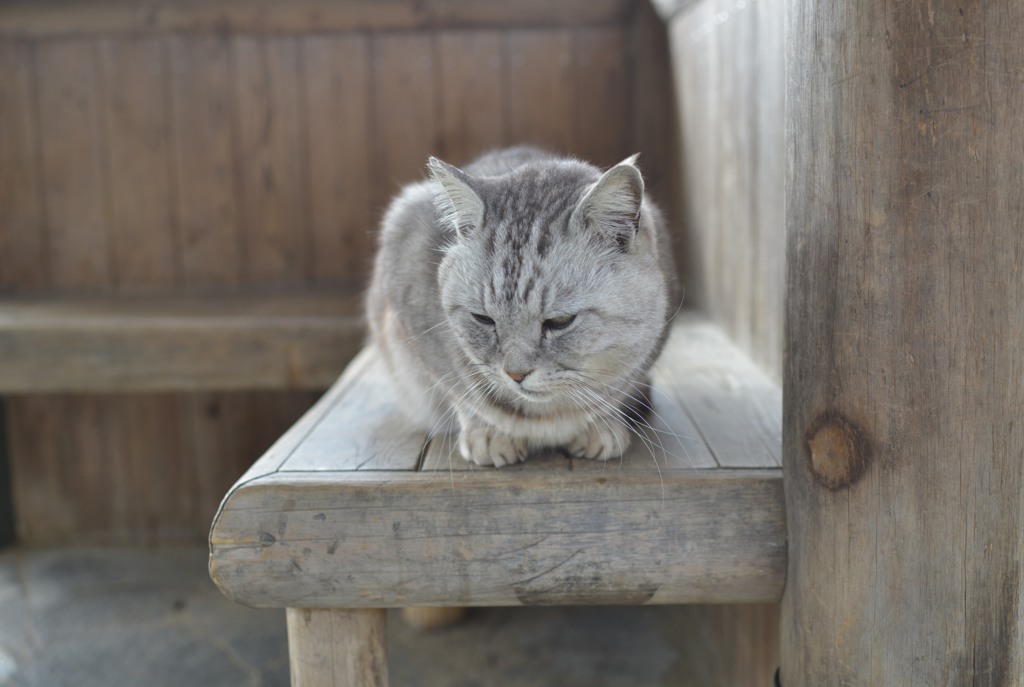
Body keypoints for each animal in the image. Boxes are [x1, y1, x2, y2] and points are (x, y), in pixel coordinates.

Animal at [370, 145, 679, 466]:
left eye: (560, 321)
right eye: (483, 319)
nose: (515, 375)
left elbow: (613, 395)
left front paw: (601, 424)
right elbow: (463, 395)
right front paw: (487, 432)